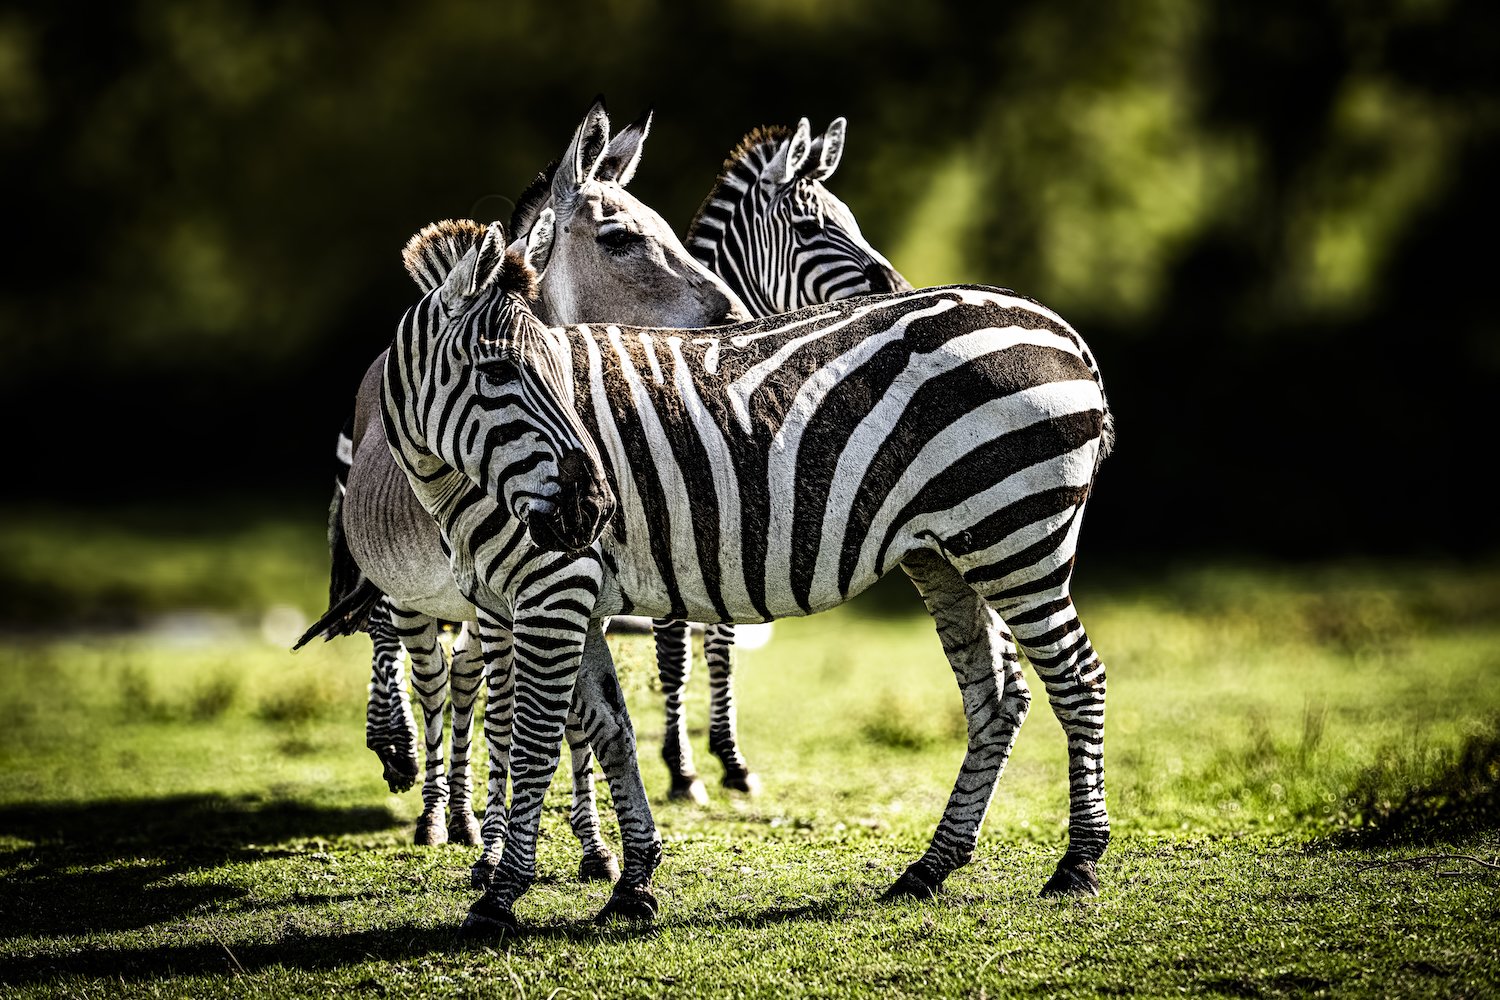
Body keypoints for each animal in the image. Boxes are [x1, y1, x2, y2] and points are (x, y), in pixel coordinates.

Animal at [296, 98, 747, 864]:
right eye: (619, 238)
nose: (739, 320)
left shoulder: (565, 583)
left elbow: (569, 714)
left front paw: (591, 843)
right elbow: (514, 707)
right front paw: (500, 844)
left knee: (463, 679)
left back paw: (461, 811)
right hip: (407, 585)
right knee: (419, 669)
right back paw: (422, 792)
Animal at [381, 207, 1114, 934]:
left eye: (557, 375)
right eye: (496, 371)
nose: (595, 508)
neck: (455, 481)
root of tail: (1061, 330)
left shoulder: (554, 588)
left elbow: (534, 738)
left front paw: (501, 896)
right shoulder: (563, 599)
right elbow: (610, 730)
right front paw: (634, 884)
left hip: (1016, 533)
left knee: (1078, 679)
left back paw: (1077, 864)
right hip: (948, 553)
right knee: (997, 698)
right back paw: (930, 867)